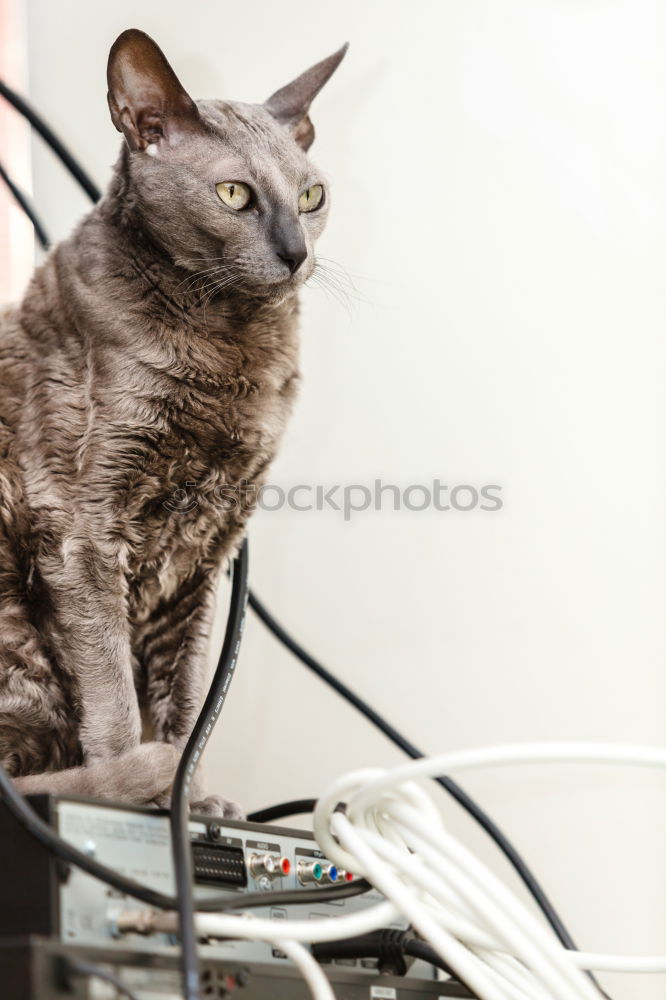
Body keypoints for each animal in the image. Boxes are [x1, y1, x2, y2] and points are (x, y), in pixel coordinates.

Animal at [0, 29, 344, 812]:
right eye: (234, 194)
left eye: (312, 196)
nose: (297, 253)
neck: (232, 356)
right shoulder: (84, 533)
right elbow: (116, 700)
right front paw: (139, 791)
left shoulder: (204, 556)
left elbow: (186, 708)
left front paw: (191, 802)